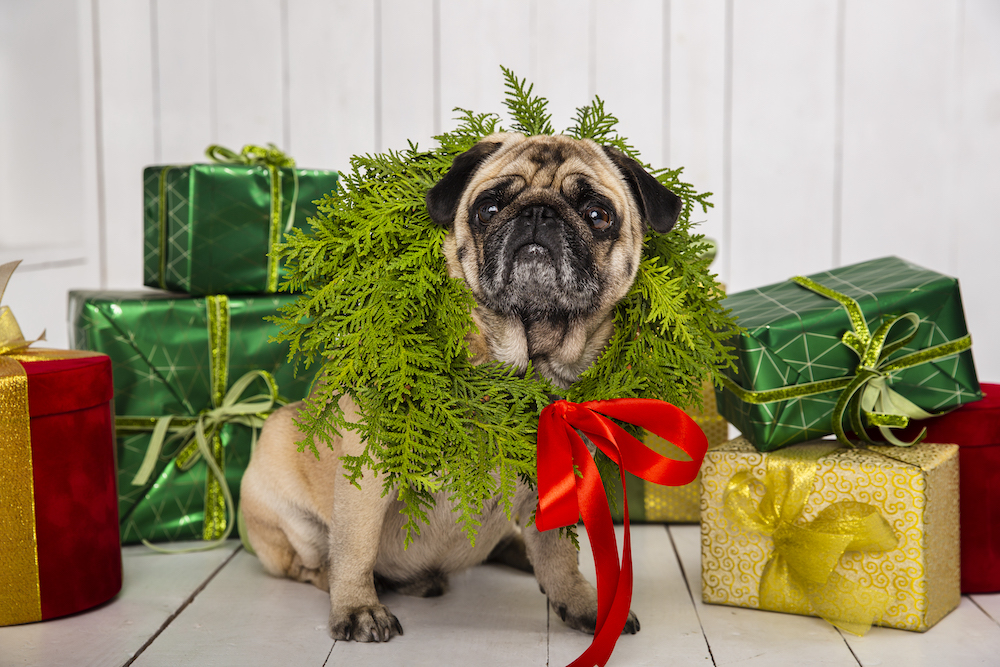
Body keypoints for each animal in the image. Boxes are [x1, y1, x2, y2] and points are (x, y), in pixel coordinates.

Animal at [240, 134, 680, 640]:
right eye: (488, 209)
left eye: (597, 214)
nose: (538, 213)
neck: (524, 358)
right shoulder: (368, 469)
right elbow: (355, 545)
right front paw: (356, 606)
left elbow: (559, 555)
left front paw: (583, 603)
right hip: (282, 479)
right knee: (311, 563)